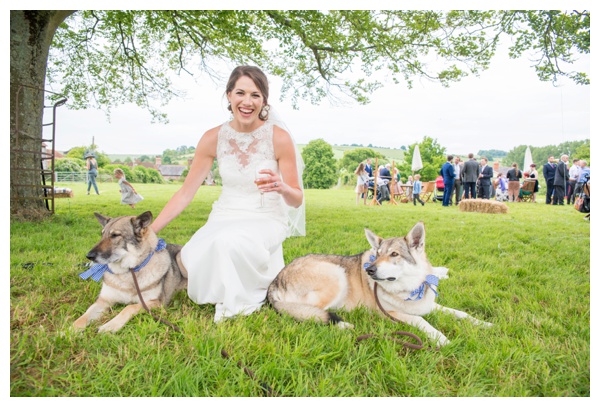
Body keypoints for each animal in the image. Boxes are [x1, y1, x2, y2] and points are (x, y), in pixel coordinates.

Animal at [268, 223, 492, 348]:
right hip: (336, 275)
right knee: (306, 316)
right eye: (377, 254)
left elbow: (460, 313)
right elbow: (422, 320)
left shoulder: (429, 305)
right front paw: (441, 339)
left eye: (394, 254)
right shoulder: (393, 314)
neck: (410, 289)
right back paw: (343, 324)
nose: (369, 270)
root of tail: (274, 281)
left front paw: (483, 324)